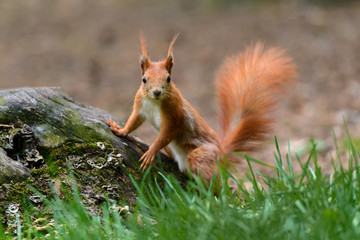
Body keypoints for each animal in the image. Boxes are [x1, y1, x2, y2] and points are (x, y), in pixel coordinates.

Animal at [108, 32, 296, 183]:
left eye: (168, 78)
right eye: (144, 79)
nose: (156, 92)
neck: (154, 102)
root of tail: (222, 154)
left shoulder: (175, 114)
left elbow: (167, 133)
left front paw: (150, 152)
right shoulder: (140, 107)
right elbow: (133, 122)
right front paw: (119, 130)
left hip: (201, 157)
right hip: (174, 150)